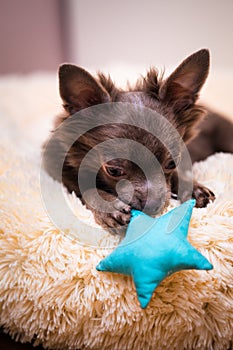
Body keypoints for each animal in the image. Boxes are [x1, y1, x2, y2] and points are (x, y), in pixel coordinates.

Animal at [43, 48, 233, 232]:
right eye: (114, 171)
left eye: (172, 163)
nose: (153, 205)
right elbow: (87, 189)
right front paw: (109, 206)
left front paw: (192, 187)